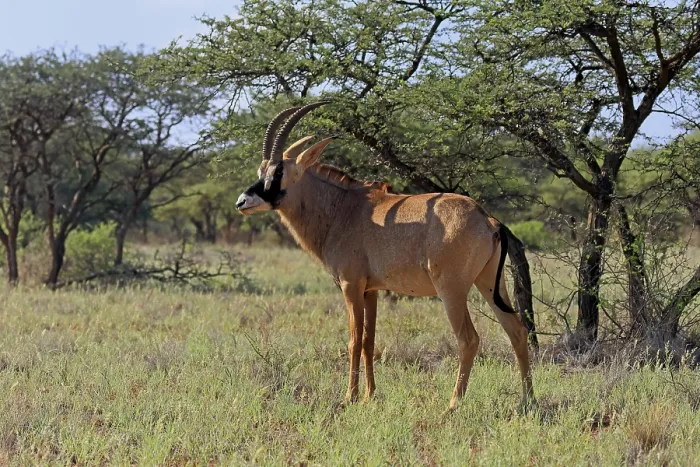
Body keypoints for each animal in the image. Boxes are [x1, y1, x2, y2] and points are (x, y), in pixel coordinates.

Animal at [236, 102, 535, 410]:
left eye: (279, 172)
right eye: (262, 170)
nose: (242, 202)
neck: (342, 209)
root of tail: (486, 219)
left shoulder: (351, 286)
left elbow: (354, 340)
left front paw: (350, 396)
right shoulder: (372, 290)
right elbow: (369, 340)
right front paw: (370, 394)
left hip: (452, 290)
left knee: (469, 339)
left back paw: (453, 404)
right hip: (489, 284)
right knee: (517, 330)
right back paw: (528, 401)